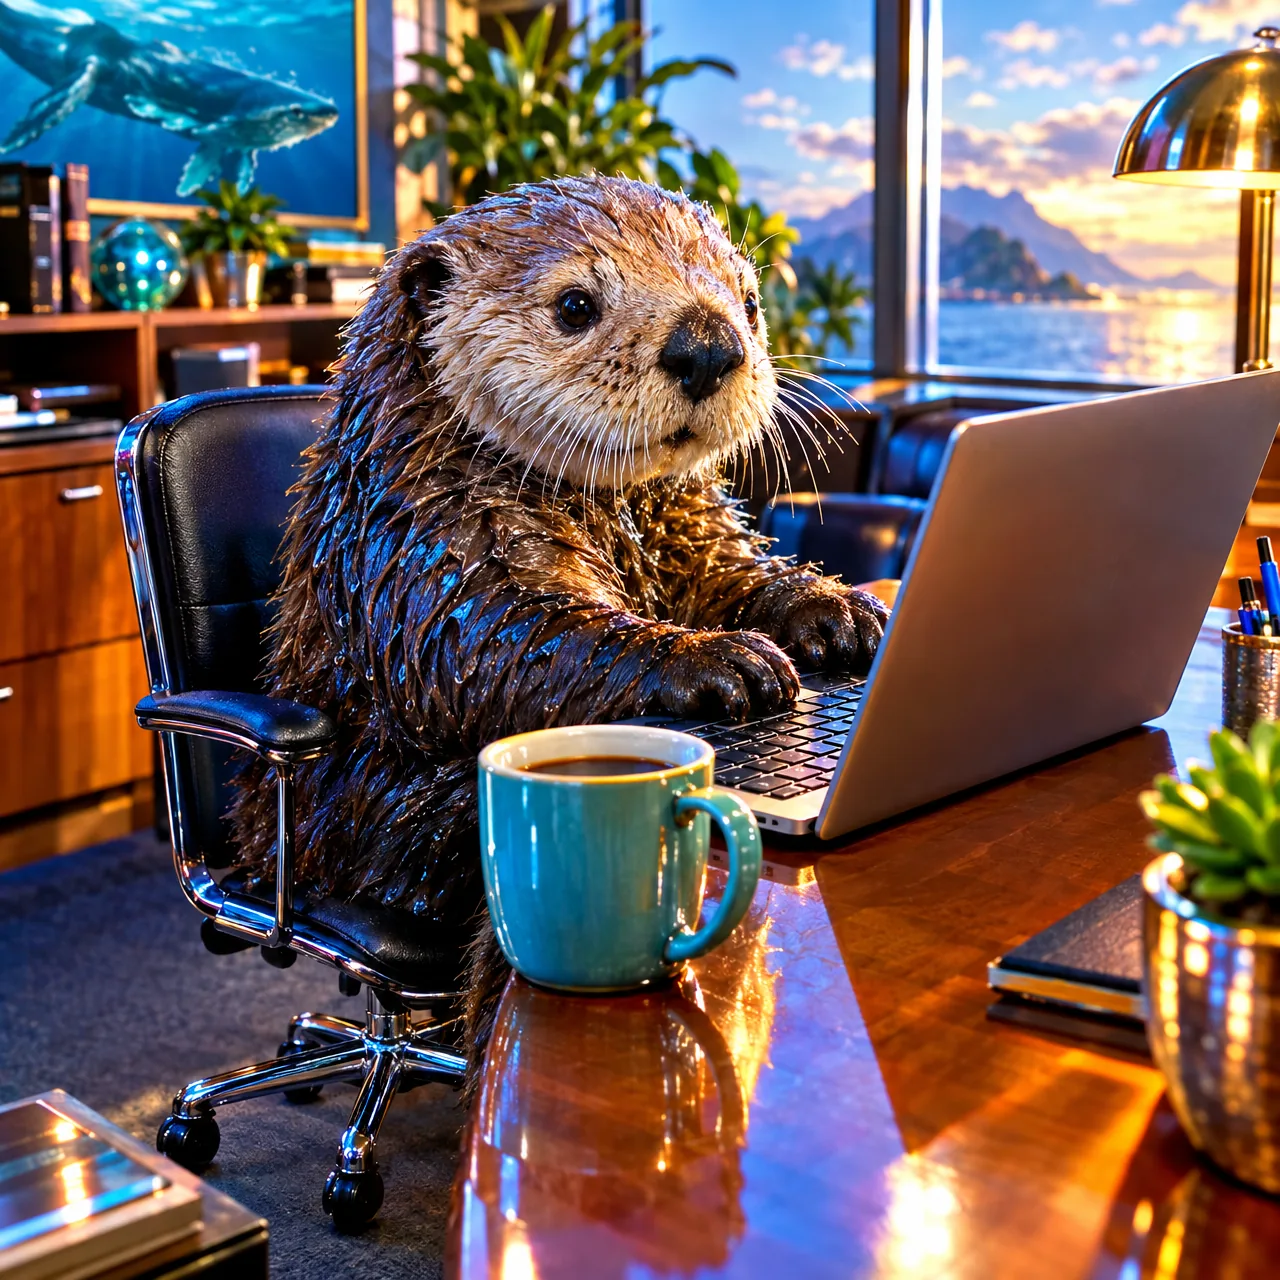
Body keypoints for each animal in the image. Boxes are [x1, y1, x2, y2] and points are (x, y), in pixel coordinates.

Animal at [230, 175, 885, 1069]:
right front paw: (723, 662)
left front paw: (842, 610)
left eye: (750, 302)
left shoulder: (684, 530)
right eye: (576, 304)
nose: (709, 343)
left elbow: (733, 573)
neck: (611, 512)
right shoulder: (422, 538)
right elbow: (498, 640)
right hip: (349, 835)